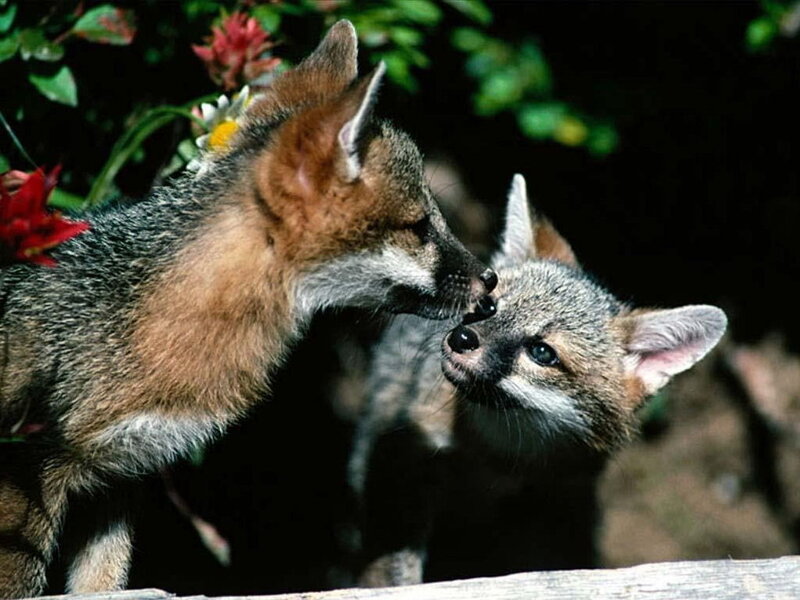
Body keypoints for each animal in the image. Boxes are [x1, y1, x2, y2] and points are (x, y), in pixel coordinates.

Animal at [348, 174, 727, 586]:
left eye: (542, 352)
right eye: (489, 307)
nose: (460, 338)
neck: (497, 456)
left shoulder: (554, 500)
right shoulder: (406, 455)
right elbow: (393, 558)